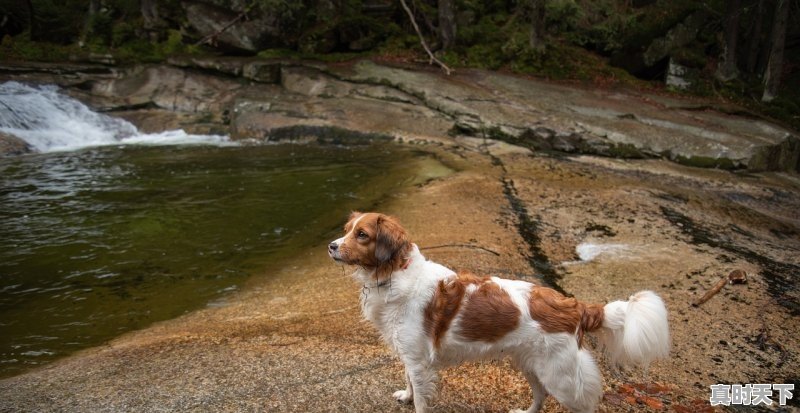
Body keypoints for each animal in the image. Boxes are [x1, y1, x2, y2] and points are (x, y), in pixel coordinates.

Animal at [324, 212, 668, 412]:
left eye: (362, 235)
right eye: (347, 230)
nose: (331, 245)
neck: (394, 273)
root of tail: (575, 305)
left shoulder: (419, 361)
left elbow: (421, 397)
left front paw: (414, 402)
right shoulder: (410, 355)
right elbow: (409, 381)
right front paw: (406, 397)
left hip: (560, 377)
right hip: (531, 365)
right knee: (540, 397)